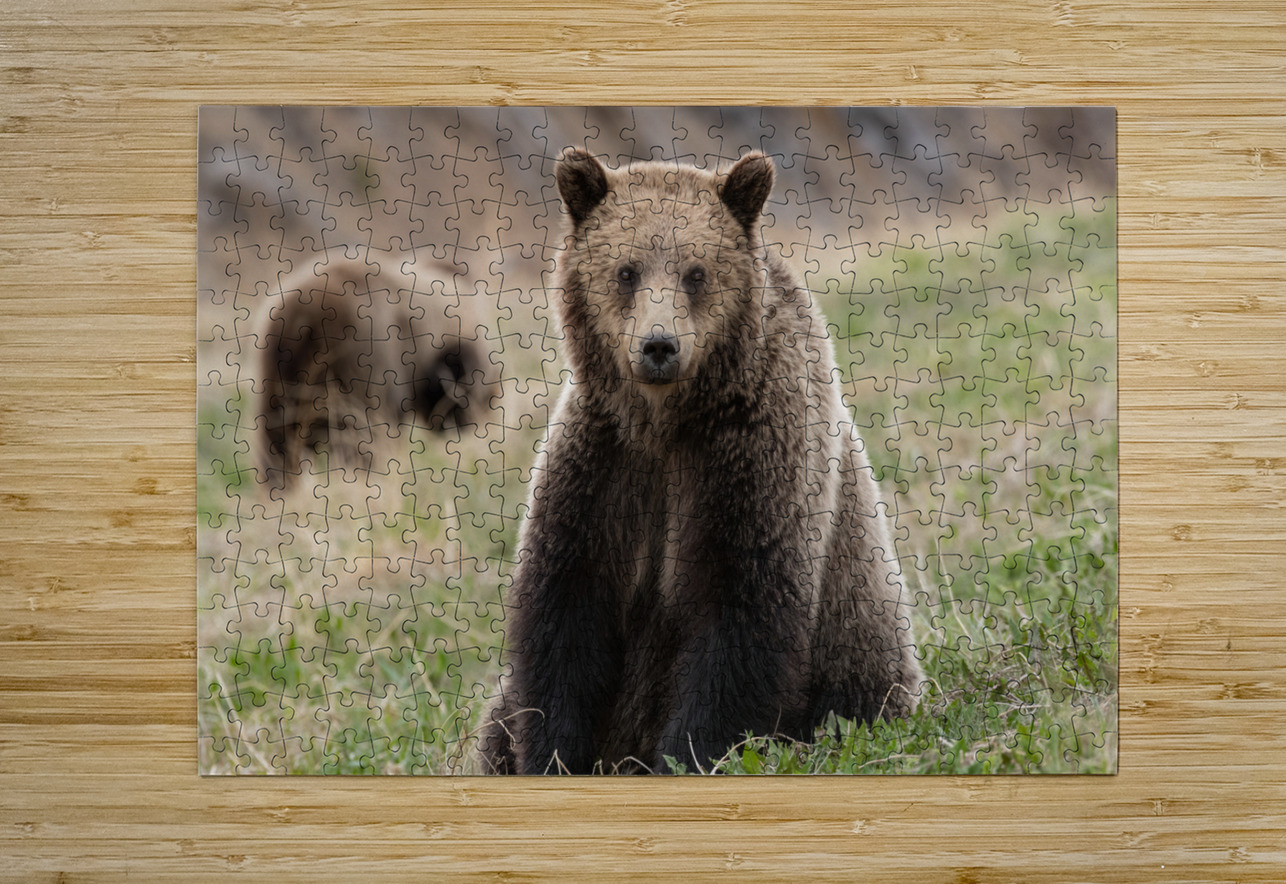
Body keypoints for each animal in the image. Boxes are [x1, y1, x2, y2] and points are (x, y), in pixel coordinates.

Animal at [477, 148, 923, 774]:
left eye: (696, 272)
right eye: (627, 271)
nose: (659, 346)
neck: (668, 422)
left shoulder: (753, 457)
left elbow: (739, 617)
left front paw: (687, 754)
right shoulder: (603, 463)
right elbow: (564, 614)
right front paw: (552, 754)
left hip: (863, 662)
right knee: (497, 715)